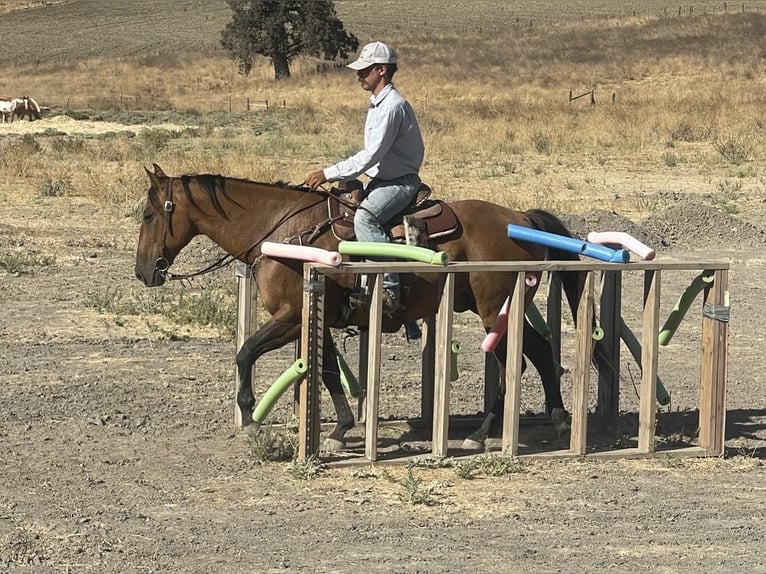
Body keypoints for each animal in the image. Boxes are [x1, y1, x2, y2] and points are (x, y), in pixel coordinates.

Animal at [134, 164, 591, 452]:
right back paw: (554, 417)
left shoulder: (289, 317)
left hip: (494, 309)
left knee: (519, 359)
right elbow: (326, 370)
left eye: (148, 214)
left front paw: (249, 414)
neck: (282, 229)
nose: (144, 272)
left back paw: (484, 432)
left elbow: (246, 352)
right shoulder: (312, 319)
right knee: (538, 352)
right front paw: (339, 429)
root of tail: (521, 218)